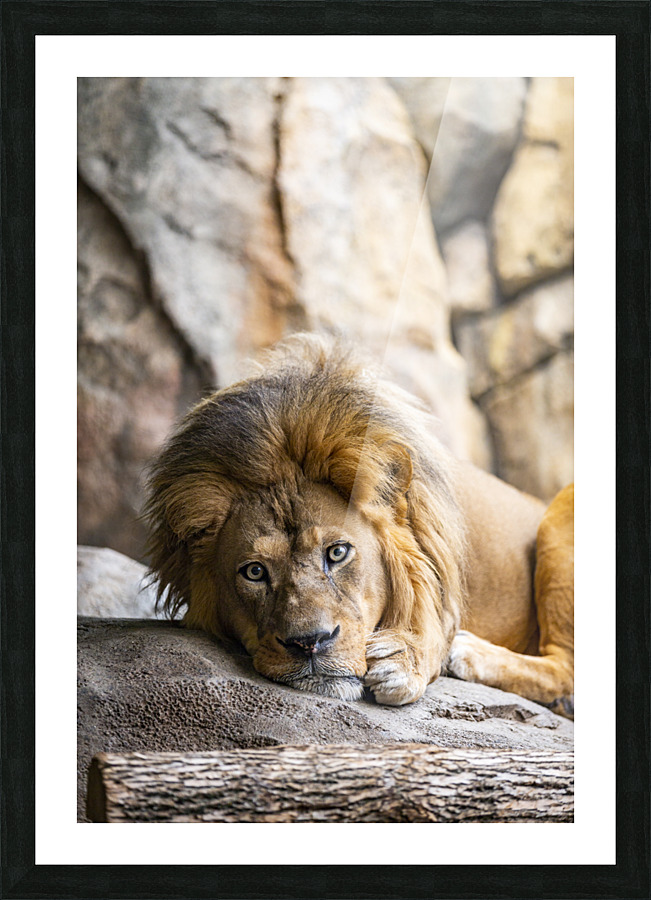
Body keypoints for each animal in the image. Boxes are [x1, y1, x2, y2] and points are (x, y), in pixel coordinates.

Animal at [145, 334, 573, 715]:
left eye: (337, 553)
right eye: (254, 572)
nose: (310, 643)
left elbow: (430, 623)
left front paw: (402, 659)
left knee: (565, 669)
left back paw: (469, 653)